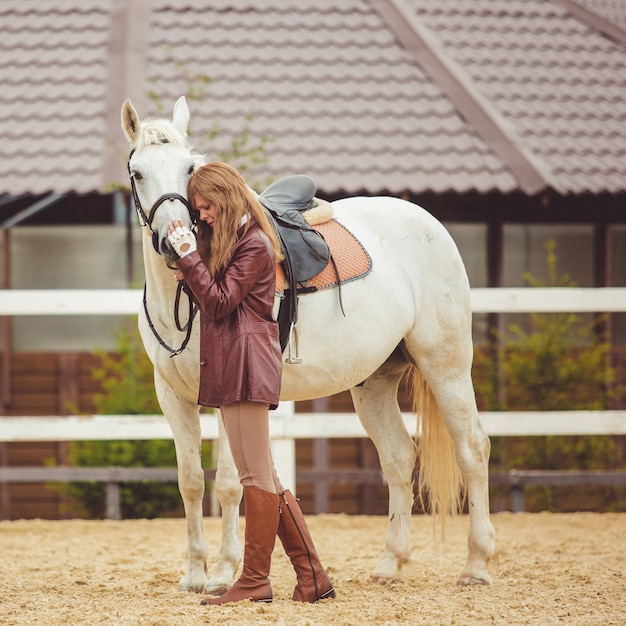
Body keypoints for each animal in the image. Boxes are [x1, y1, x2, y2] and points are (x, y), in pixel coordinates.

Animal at [119, 96, 494, 588]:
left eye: (188, 168)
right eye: (138, 172)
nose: (173, 240)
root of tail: (430, 224)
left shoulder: (227, 394)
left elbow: (229, 483)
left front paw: (222, 573)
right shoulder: (172, 397)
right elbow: (190, 481)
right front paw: (194, 573)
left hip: (445, 365)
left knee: (473, 448)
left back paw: (476, 564)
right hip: (375, 382)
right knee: (399, 458)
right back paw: (390, 563)